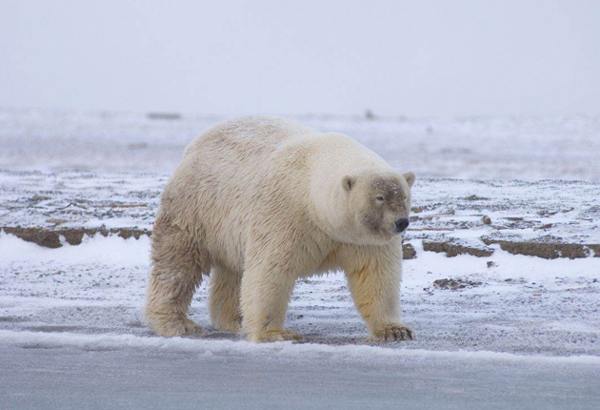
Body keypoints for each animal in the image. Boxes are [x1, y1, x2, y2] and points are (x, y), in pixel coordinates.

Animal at [146, 116, 418, 342]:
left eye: (404, 196)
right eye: (380, 197)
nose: (401, 222)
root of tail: (195, 144)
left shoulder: (362, 239)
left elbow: (376, 275)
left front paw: (395, 330)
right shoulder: (286, 215)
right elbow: (270, 271)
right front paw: (276, 333)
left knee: (232, 273)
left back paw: (234, 319)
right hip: (196, 207)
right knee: (178, 264)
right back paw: (177, 323)